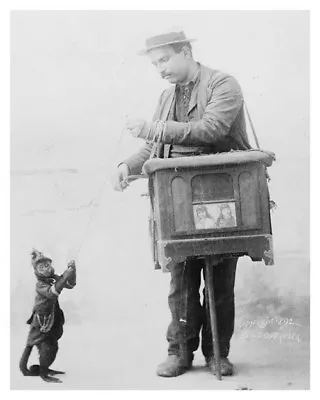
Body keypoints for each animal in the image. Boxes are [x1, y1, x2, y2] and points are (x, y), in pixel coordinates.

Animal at [19, 248, 76, 382]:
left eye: (46, 264)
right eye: (41, 266)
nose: (45, 268)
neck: (47, 279)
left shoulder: (55, 276)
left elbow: (69, 285)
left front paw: (72, 266)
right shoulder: (40, 286)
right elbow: (51, 292)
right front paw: (68, 272)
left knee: (51, 348)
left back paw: (49, 371)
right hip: (40, 336)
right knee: (48, 349)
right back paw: (44, 374)